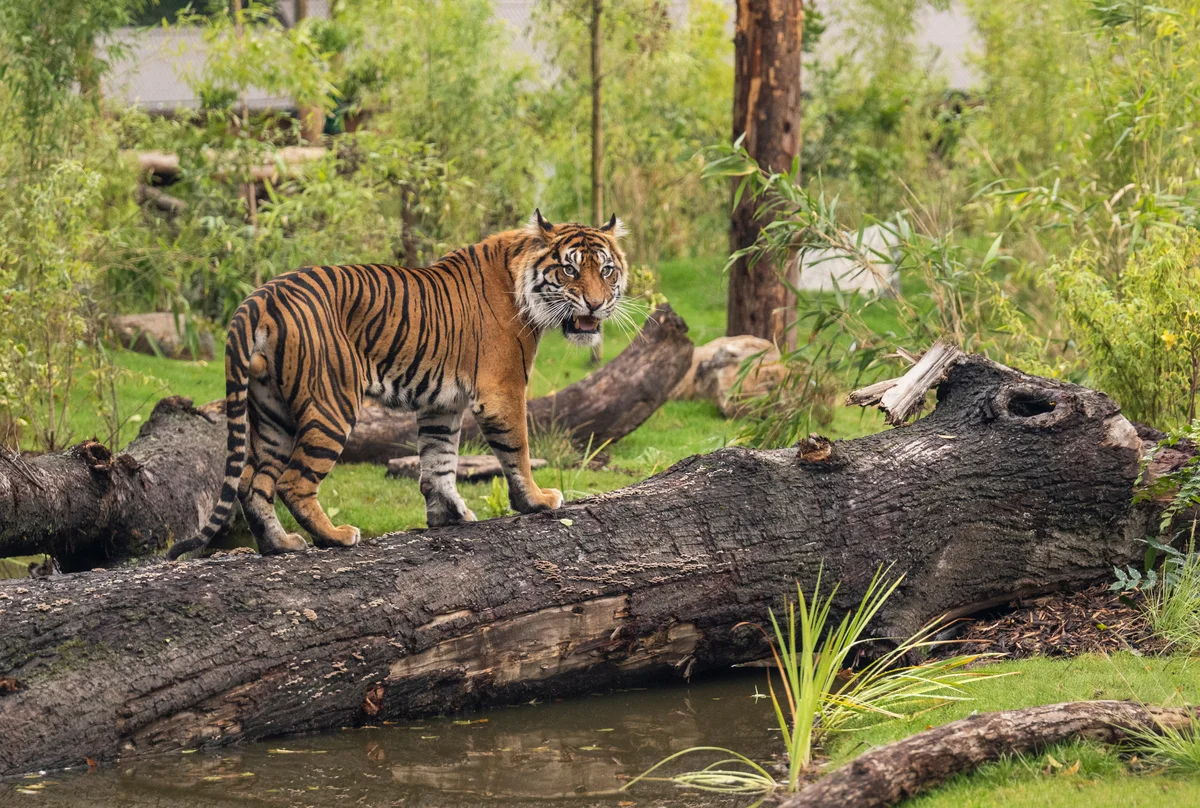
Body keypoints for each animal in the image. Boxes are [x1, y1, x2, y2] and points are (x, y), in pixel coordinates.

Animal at [167, 210, 628, 559]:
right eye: (569, 269)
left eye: (606, 270)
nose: (595, 303)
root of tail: (262, 294)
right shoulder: (503, 390)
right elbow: (518, 451)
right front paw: (536, 501)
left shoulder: (442, 404)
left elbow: (438, 461)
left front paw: (449, 516)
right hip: (331, 404)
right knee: (292, 482)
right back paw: (335, 537)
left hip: (271, 410)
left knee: (253, 483)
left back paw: (281, 545)